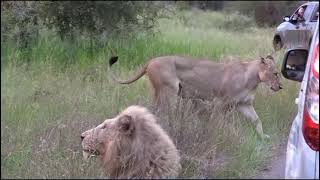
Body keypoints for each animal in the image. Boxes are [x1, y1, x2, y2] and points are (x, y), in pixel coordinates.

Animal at [108, 54, 282, 139]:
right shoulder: (220, 102)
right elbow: (217, 122)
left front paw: (263, 136)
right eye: (275, 73)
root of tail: (151, 60)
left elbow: (257, 120)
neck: (253, 79)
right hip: (168, 91)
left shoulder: (244, 104)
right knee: (162, 112)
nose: (281, 86)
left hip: (160, 93)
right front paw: (219, 135)